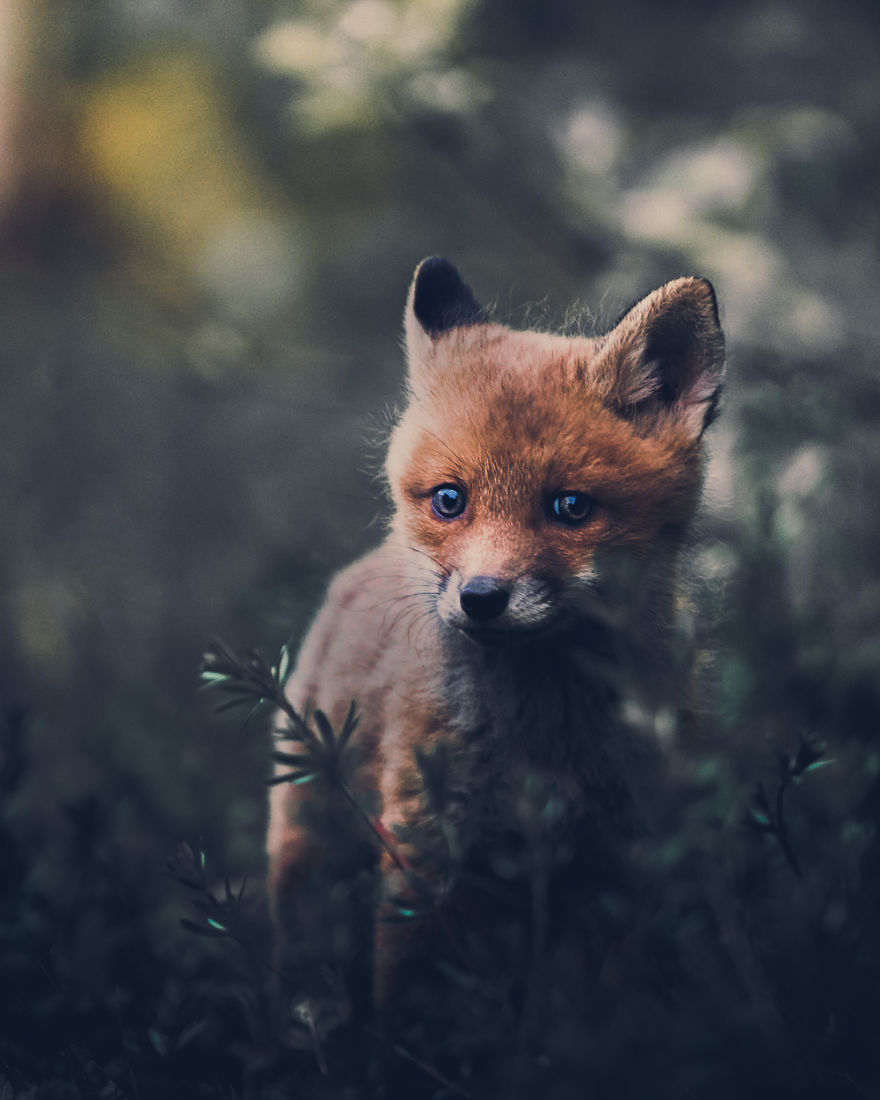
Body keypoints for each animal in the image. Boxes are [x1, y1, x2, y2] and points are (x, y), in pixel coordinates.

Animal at [266, 256, 725, 1013]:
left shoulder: (629, 851)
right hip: (309, 845)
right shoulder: (426, 847)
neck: (547, 737)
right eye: (450, 500)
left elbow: (606, 1000)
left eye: (570, 508)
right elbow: (409, 991)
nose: (481, 599)